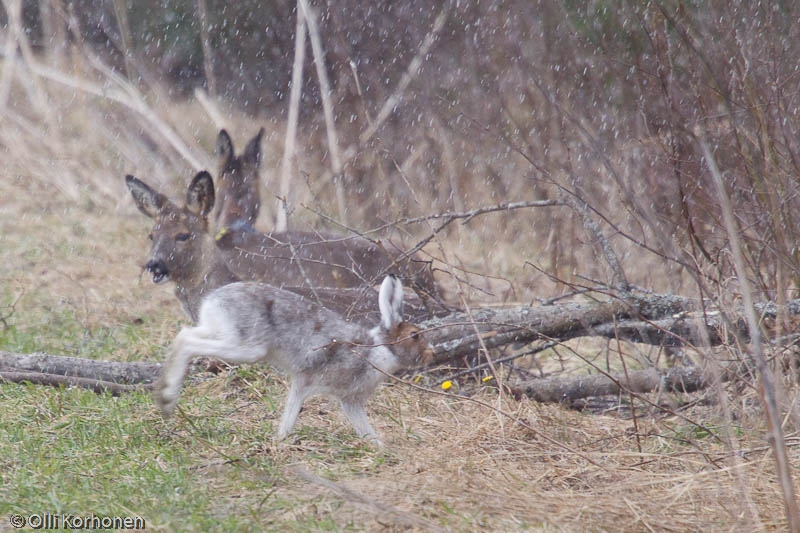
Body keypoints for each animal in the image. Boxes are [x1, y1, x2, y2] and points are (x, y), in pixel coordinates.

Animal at [153, 274, 434, 444]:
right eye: (415, 335)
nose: (431, 354)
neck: (377, 350)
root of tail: (213, 300)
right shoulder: (306, 380)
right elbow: (292, 409)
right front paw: (281, 439)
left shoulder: (350, 400)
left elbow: (362, 426)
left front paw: (378, 445)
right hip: (246, 346)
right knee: (187, 341)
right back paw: (166, 398)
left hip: (222, 333)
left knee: (184, 334)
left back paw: (165, 393)